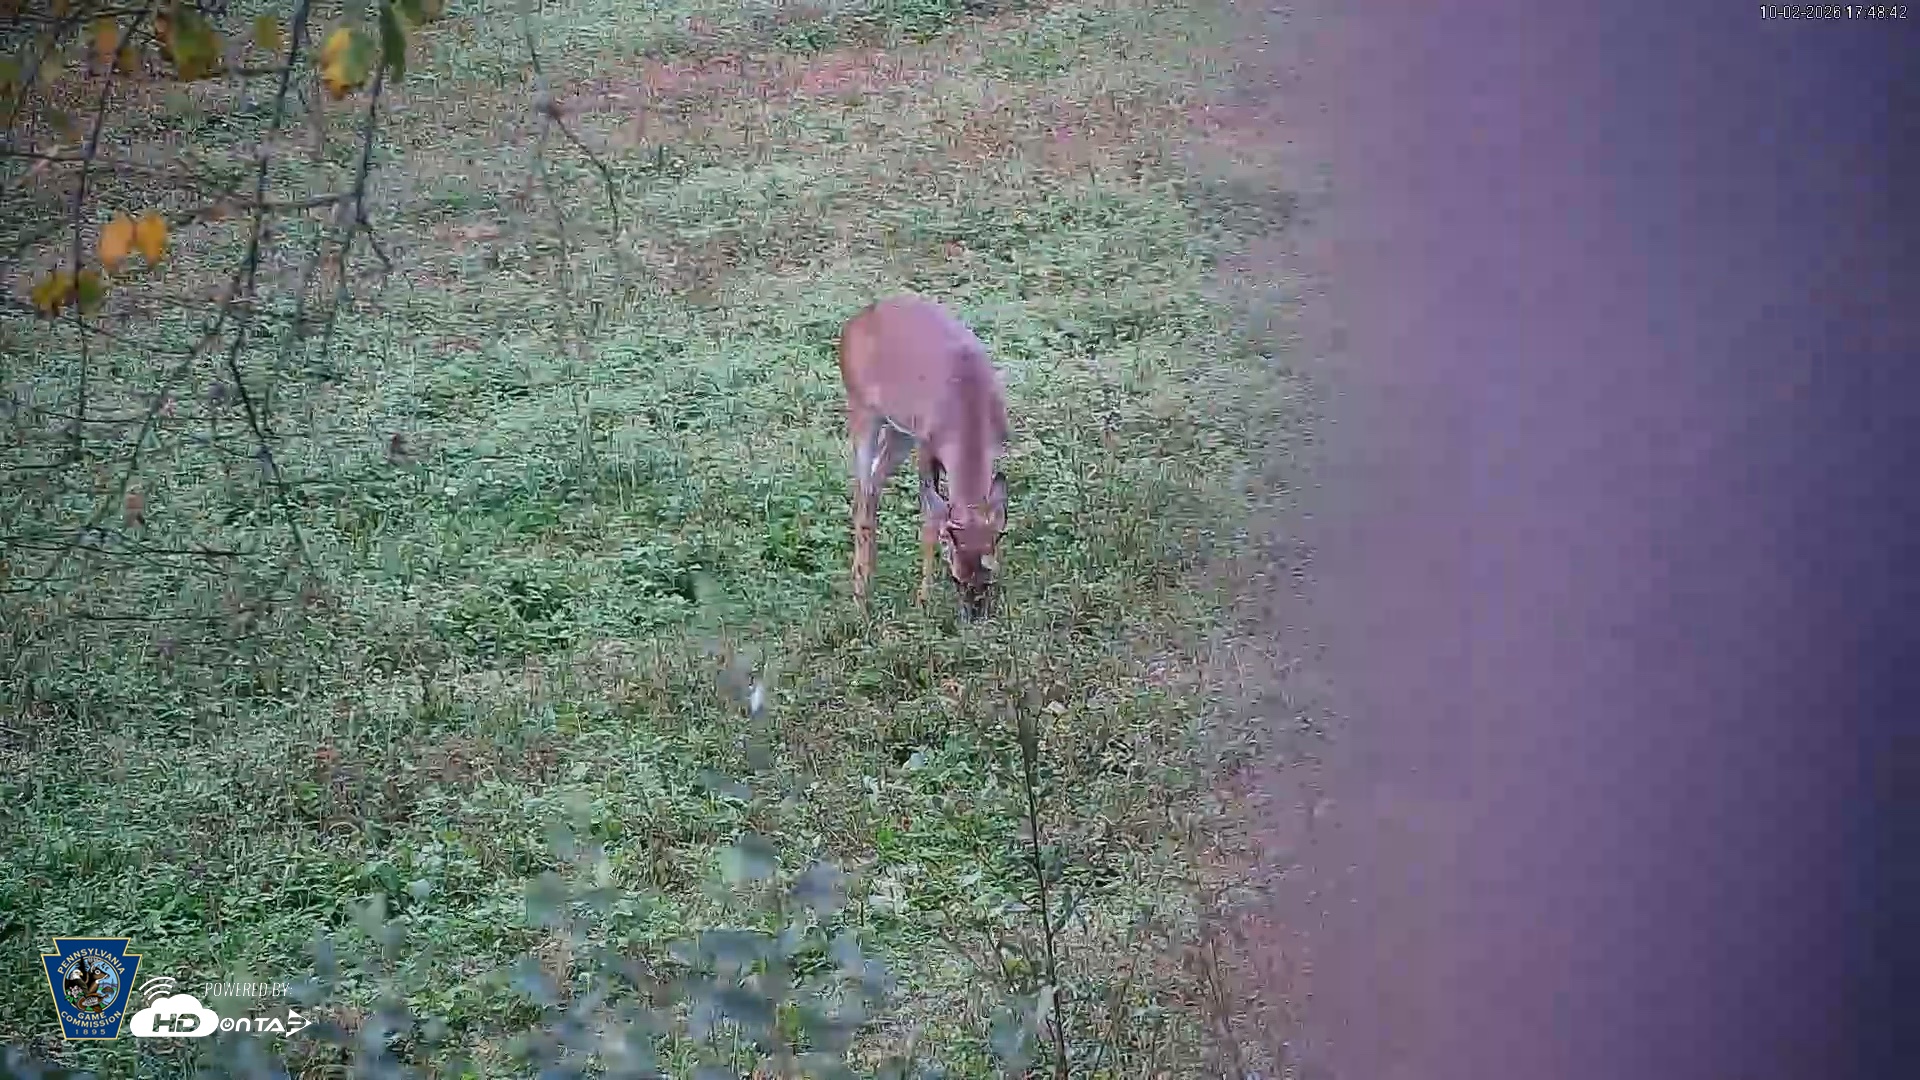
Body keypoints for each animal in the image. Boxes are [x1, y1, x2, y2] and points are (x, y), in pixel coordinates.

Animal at [838, 293, 1010, 621]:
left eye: (990, 578)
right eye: (957, 578)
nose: (974, 617)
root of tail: (855, 321)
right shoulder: (927, 448)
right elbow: (931, 520)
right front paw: (924, 598)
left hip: (899, 432)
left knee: (873, 486)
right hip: (863, 413)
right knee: (861, 495)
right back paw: (860, 595)